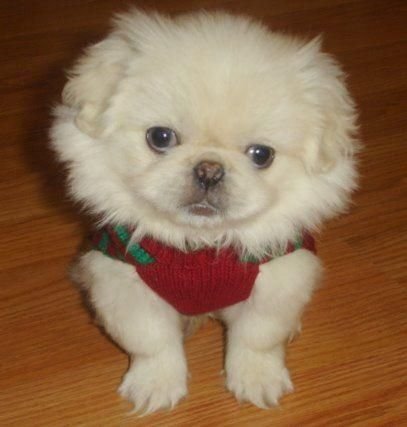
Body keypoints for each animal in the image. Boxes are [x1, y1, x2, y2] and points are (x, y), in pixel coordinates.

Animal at [49, 9, 358, 414]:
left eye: (261, 155)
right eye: (160, 137)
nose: (209, 170)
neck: (200, 244)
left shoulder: (277, 279)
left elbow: (257, 338)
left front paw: (256, 379)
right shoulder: (125, 282)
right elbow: (151, 341)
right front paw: (155, 385)